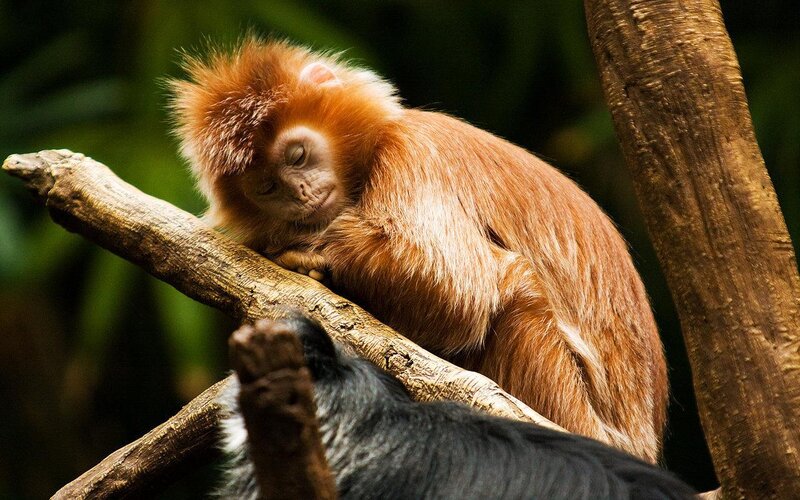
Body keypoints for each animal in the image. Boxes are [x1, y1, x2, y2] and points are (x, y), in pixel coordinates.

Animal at [170, 38, 668, 462]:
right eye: (268, 187)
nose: (300, 195)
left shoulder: (412, 151)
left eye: (297, 156)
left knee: (514, 286)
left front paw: (299, 252)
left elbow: (457, 291)